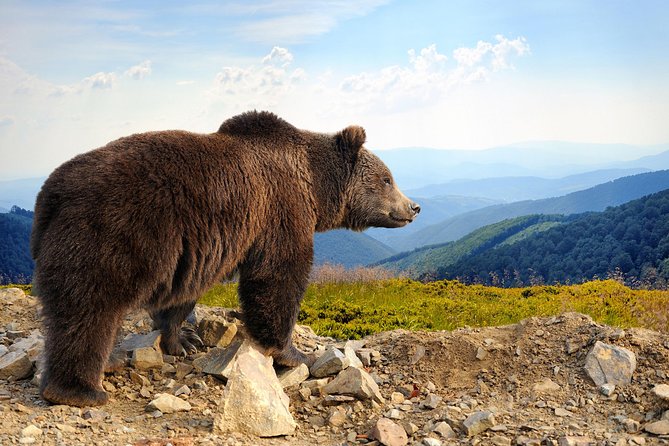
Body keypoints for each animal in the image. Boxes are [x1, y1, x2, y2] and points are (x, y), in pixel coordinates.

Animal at [31, 111, 420, 407]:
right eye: (387, 178)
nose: (413, 207)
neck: (314, 185)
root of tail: (52, 193)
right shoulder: (279, 210)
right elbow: (278, 277)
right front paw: (294, 353)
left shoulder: (196, 248)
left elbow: (183, 294)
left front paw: (183, 340)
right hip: (113, 232)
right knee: (89, 309)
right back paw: (80, 389)